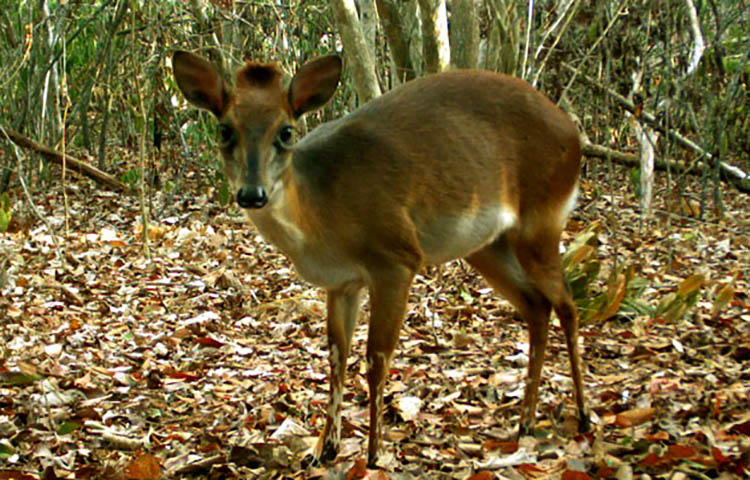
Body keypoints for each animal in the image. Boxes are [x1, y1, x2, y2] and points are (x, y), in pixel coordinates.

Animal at [173, 51, 592, 464]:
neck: (320, 218)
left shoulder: (396, 257)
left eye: (286, 131)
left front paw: (374, 454)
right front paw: (325, 449)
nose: (252, 193)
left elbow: (376, 359)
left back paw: (584, 417)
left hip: (541, 219)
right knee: (537, 305)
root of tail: (573, 132)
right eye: (224, 129)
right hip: (488, 245)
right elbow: (337, 356)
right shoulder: (341, 283)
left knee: (568, 306)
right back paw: (526, 422)